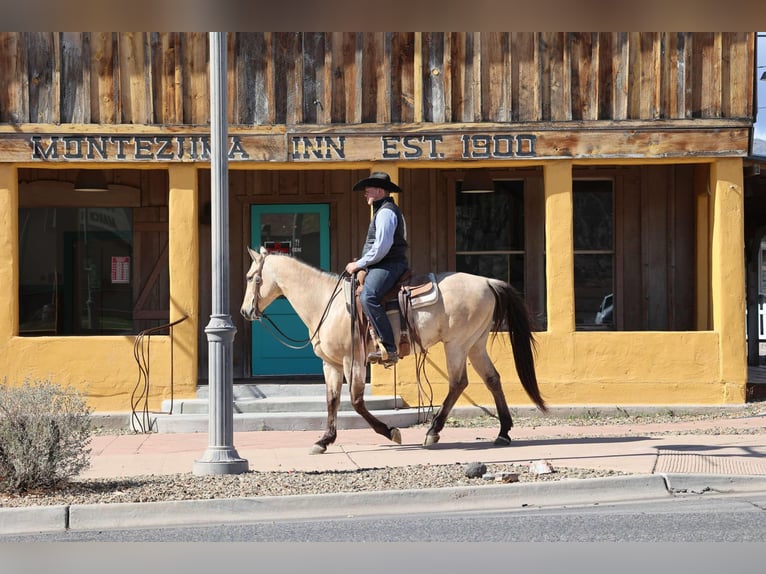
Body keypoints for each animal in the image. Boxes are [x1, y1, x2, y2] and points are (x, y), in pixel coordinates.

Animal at [240, 248, 544, 454]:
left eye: (251, 277)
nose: (244, 312)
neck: (327, 303)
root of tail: (488, 282)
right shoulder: (332, 365)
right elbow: (332, 401)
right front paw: (324, 440)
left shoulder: (353, 361)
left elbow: (357, 402)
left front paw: (391, 432)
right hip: (475, 345)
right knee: (492, 379)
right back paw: (503, 433)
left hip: (456, 345)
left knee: (459, 383)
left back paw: (433, 431)